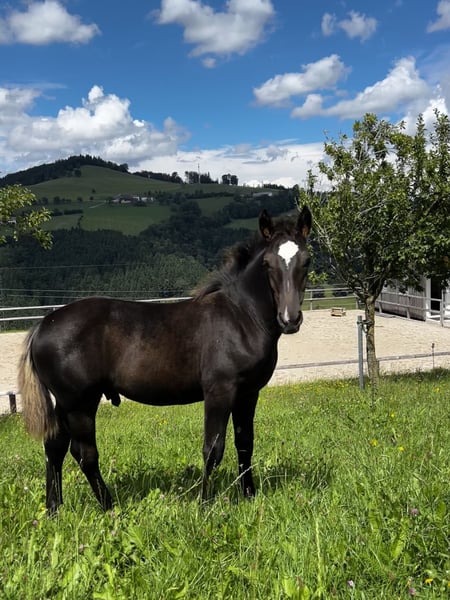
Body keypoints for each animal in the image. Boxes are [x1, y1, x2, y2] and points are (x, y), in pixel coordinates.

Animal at [19, 206, 312, 513]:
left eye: (307, 260)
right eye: (267, 263)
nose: (290, 319)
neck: (242, 316)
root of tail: (43, 325)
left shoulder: (248, 392)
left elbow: (244, 443)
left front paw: (249, 495)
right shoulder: (219, 390)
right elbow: (212, 448)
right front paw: (205, 504)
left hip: (65, 403)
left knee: (54, 447)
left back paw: (54, 508)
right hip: (80, 403)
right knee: (84, 453)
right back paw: (110, 507)